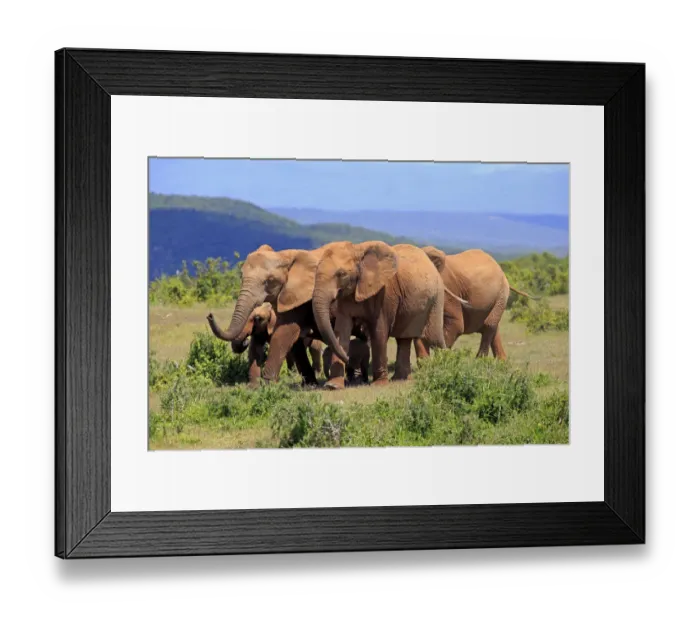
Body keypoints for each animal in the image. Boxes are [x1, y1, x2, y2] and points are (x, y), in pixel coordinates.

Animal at [312, 241, 447, 390]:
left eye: (341, 274)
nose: (348, 359)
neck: (357, 250)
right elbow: (341, 331)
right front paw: (333, 386)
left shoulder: (385, 293)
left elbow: (379, 332)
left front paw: (379, 384)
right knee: (403, 338)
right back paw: (400, 379)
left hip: (437, 297)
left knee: (433, 337)